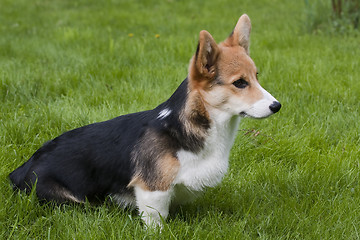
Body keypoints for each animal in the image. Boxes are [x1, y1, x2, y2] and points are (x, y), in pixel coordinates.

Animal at [8, 14, 282, 228]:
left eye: (256, 77)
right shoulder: (153, 191)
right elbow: (156, 220)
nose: (277, 106)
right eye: (240, 83)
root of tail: (19, 170)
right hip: (71, 200)